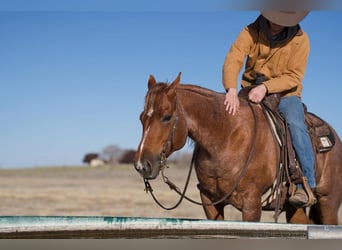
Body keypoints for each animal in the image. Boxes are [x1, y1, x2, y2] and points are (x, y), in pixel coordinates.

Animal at [134, 72, 342, 225]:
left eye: (167, 117)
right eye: (141, 117)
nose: (142, 165)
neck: (226, 138)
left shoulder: (252, 204)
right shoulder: (209, 201)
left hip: (328, 203)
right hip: (294, 207)